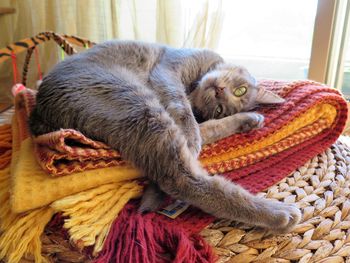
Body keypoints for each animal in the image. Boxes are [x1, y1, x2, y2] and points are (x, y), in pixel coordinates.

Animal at [30, 40, 302, 234]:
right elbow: (183, 108)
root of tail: (42, 112)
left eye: (220, 108)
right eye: (240, 89)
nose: (220, 91)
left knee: (182, 176)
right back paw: (279, 212)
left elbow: (206, 127)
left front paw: (248, 119)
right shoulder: (168, 71)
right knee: (181, 175)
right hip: (137, 103)